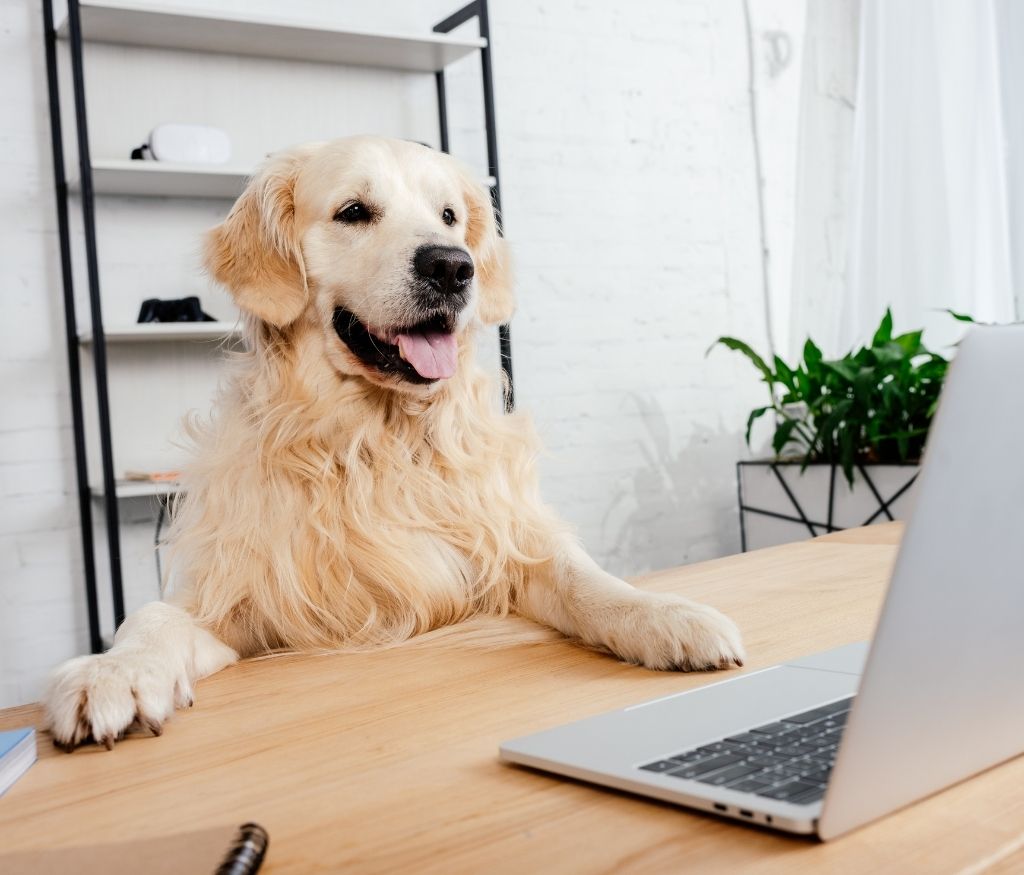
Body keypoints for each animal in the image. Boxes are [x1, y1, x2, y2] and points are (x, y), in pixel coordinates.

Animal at [44, 133, 745, 750]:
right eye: (354, 211)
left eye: (449, 216)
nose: (453, 265)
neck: (377, 439)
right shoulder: (241, 610)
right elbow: (151, 618)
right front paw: (112, 672)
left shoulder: (504, 545)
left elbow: (586, 579)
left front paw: (666, 616)